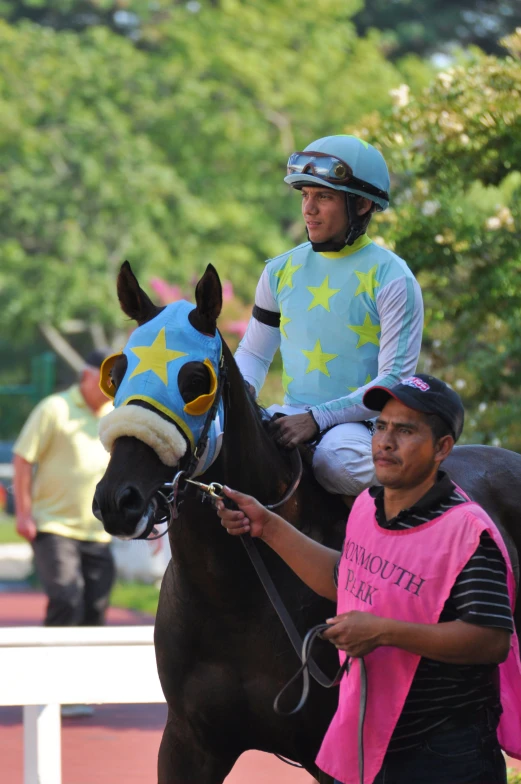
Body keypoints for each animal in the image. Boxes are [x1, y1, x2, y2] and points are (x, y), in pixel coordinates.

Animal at [92, 262, 520, 784]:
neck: (236, 596)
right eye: (116, 374)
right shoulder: (188, 742)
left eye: (196, 380)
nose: (119, 499)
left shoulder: (338, 751)